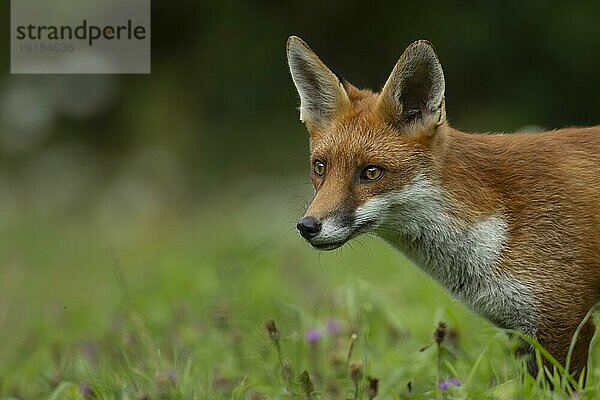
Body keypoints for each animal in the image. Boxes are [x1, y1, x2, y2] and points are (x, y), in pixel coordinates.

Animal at [288, 36, 600, 376]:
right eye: (320, 167)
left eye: (371, 172)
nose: (307, 226)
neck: (497, 222)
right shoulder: (520, 330)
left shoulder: (564, 322)